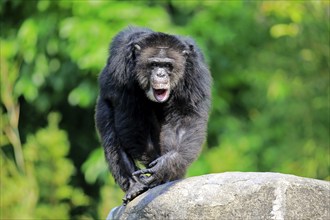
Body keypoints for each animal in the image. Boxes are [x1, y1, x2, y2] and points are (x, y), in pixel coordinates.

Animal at [95, 26, 211, 205]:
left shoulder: (194, 73)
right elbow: (131, 117)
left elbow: (185, 119)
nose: (161, 74)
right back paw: (134, 186)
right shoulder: (121, 69)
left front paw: (165, 166)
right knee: (112, 134)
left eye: (167, 65)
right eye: (154, 64)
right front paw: (154, 166)